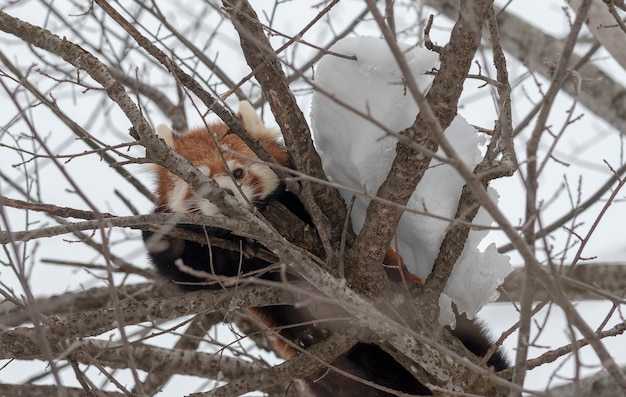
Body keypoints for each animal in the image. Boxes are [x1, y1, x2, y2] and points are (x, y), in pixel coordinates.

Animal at [143, 100, 508, 394]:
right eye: (200, 181)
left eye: (238, 172)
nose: (227, 194)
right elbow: (189, 274)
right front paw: (164, 237)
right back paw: (311, 338)